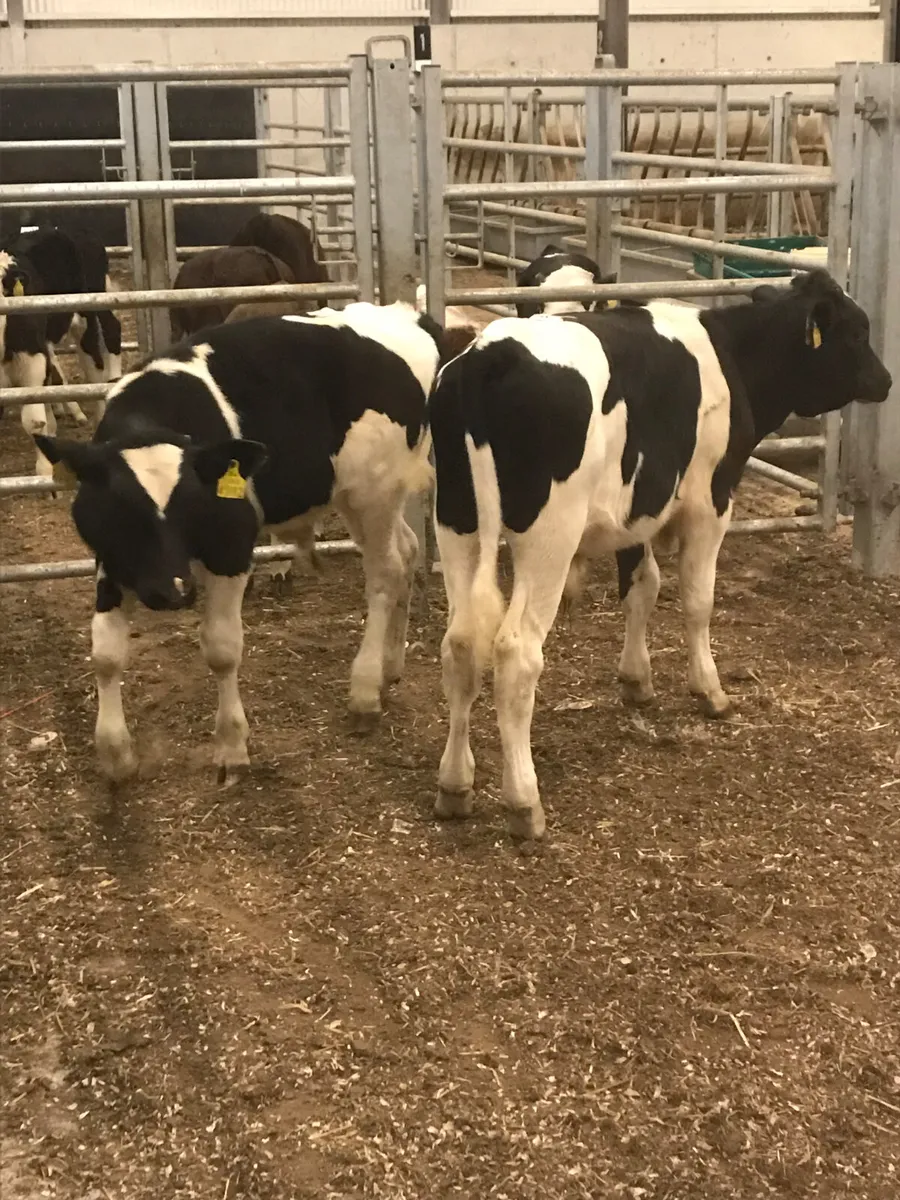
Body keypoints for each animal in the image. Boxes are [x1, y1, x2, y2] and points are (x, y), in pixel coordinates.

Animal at [32, 301, 453, 785]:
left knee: (386, 573)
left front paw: (232, 746)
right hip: (366, 498)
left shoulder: (230, 546)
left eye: (193, 503)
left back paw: (365, 690)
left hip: (373, 493)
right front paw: (115, 752)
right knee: (407, 551)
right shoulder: (113, 560)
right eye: (121, 510)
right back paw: (390, 667)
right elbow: (105, 652)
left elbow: (221, 648)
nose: (171, 592)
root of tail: (406, 316)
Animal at [427, 269, 892, 840]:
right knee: (515, 653)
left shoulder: (638, 507)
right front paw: (709, 690)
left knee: (460, 645)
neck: (733, 352)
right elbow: (697, 600)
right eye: (856, 331)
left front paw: (636, 679)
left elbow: (642, 588)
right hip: (547, 536)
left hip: (457, 523)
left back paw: (455, 785)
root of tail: (491, 354)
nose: (884, 380)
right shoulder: (711, 500)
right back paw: (524, 802)